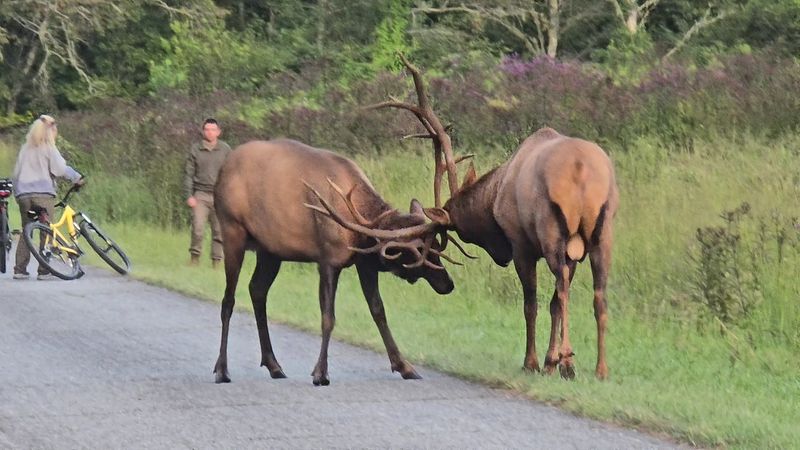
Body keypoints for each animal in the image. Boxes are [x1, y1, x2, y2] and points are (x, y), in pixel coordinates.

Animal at [212, 138, 459, 386]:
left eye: (436, 249)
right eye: (418, 253)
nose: (448, 284)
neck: (360, 230)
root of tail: (223, 168)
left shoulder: (365, 263)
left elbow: (378, 310)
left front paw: (405, 366)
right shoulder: (328, 260)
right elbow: (328, 317)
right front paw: (320, 372)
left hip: (270, 250)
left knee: (257, 289)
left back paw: (274, 365)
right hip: (232, 230)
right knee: (228, 299)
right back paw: (222, 369)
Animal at [372, 55, 619, 379]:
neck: (493, 196)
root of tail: (581, 169)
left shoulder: (521, 245)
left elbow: (532, 304)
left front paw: (534, 362)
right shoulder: (571, 252)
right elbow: (552, 304)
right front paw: (549, 361)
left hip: (553, 232)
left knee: (564, 289)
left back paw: (568, 361)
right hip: (602, 235)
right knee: (599, 295)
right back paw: (601, 368)